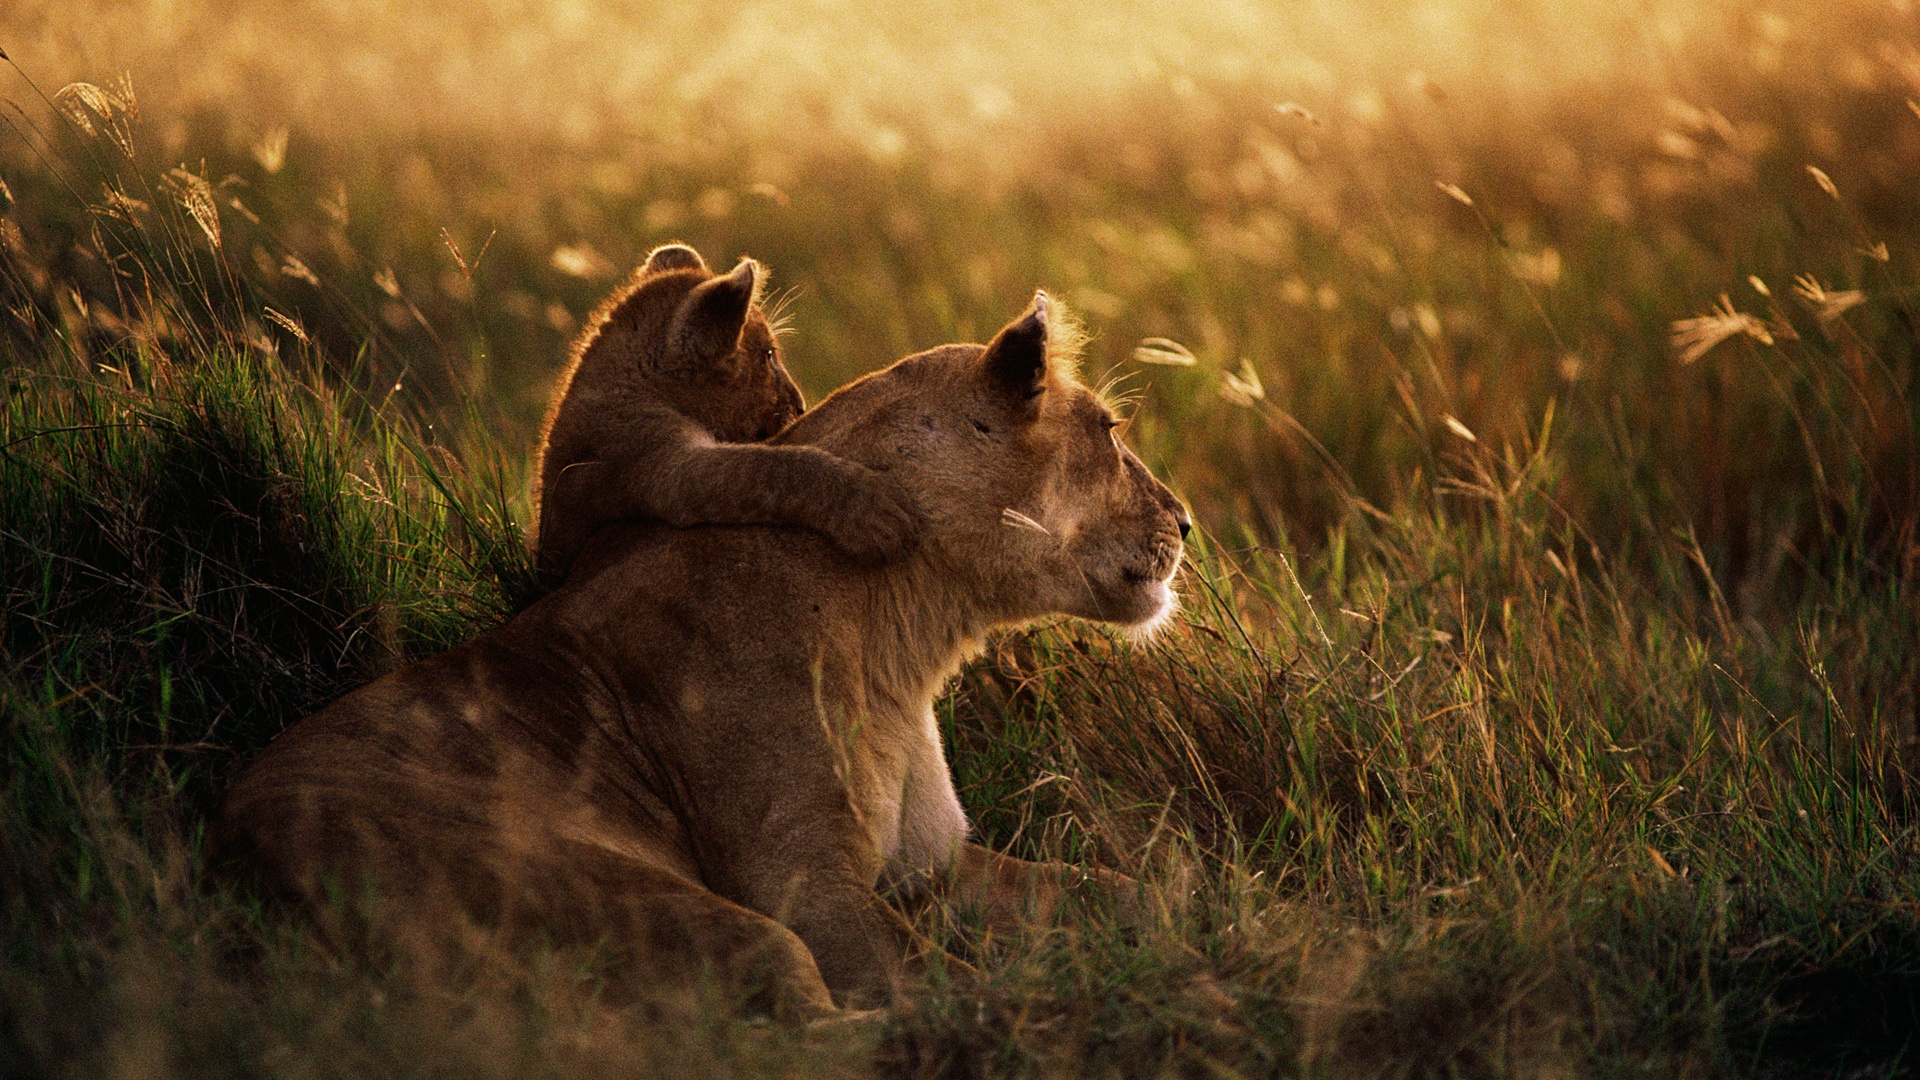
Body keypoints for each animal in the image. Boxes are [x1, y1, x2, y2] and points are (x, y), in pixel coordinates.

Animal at [216, 291, 1190, 1015]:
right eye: (1110, 431)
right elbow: (946, 986)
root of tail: (231, 857)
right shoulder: (802, 883)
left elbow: (1122, 888)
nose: (1185, 522)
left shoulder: (934, 866)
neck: (906, 635)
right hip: (659, 905)